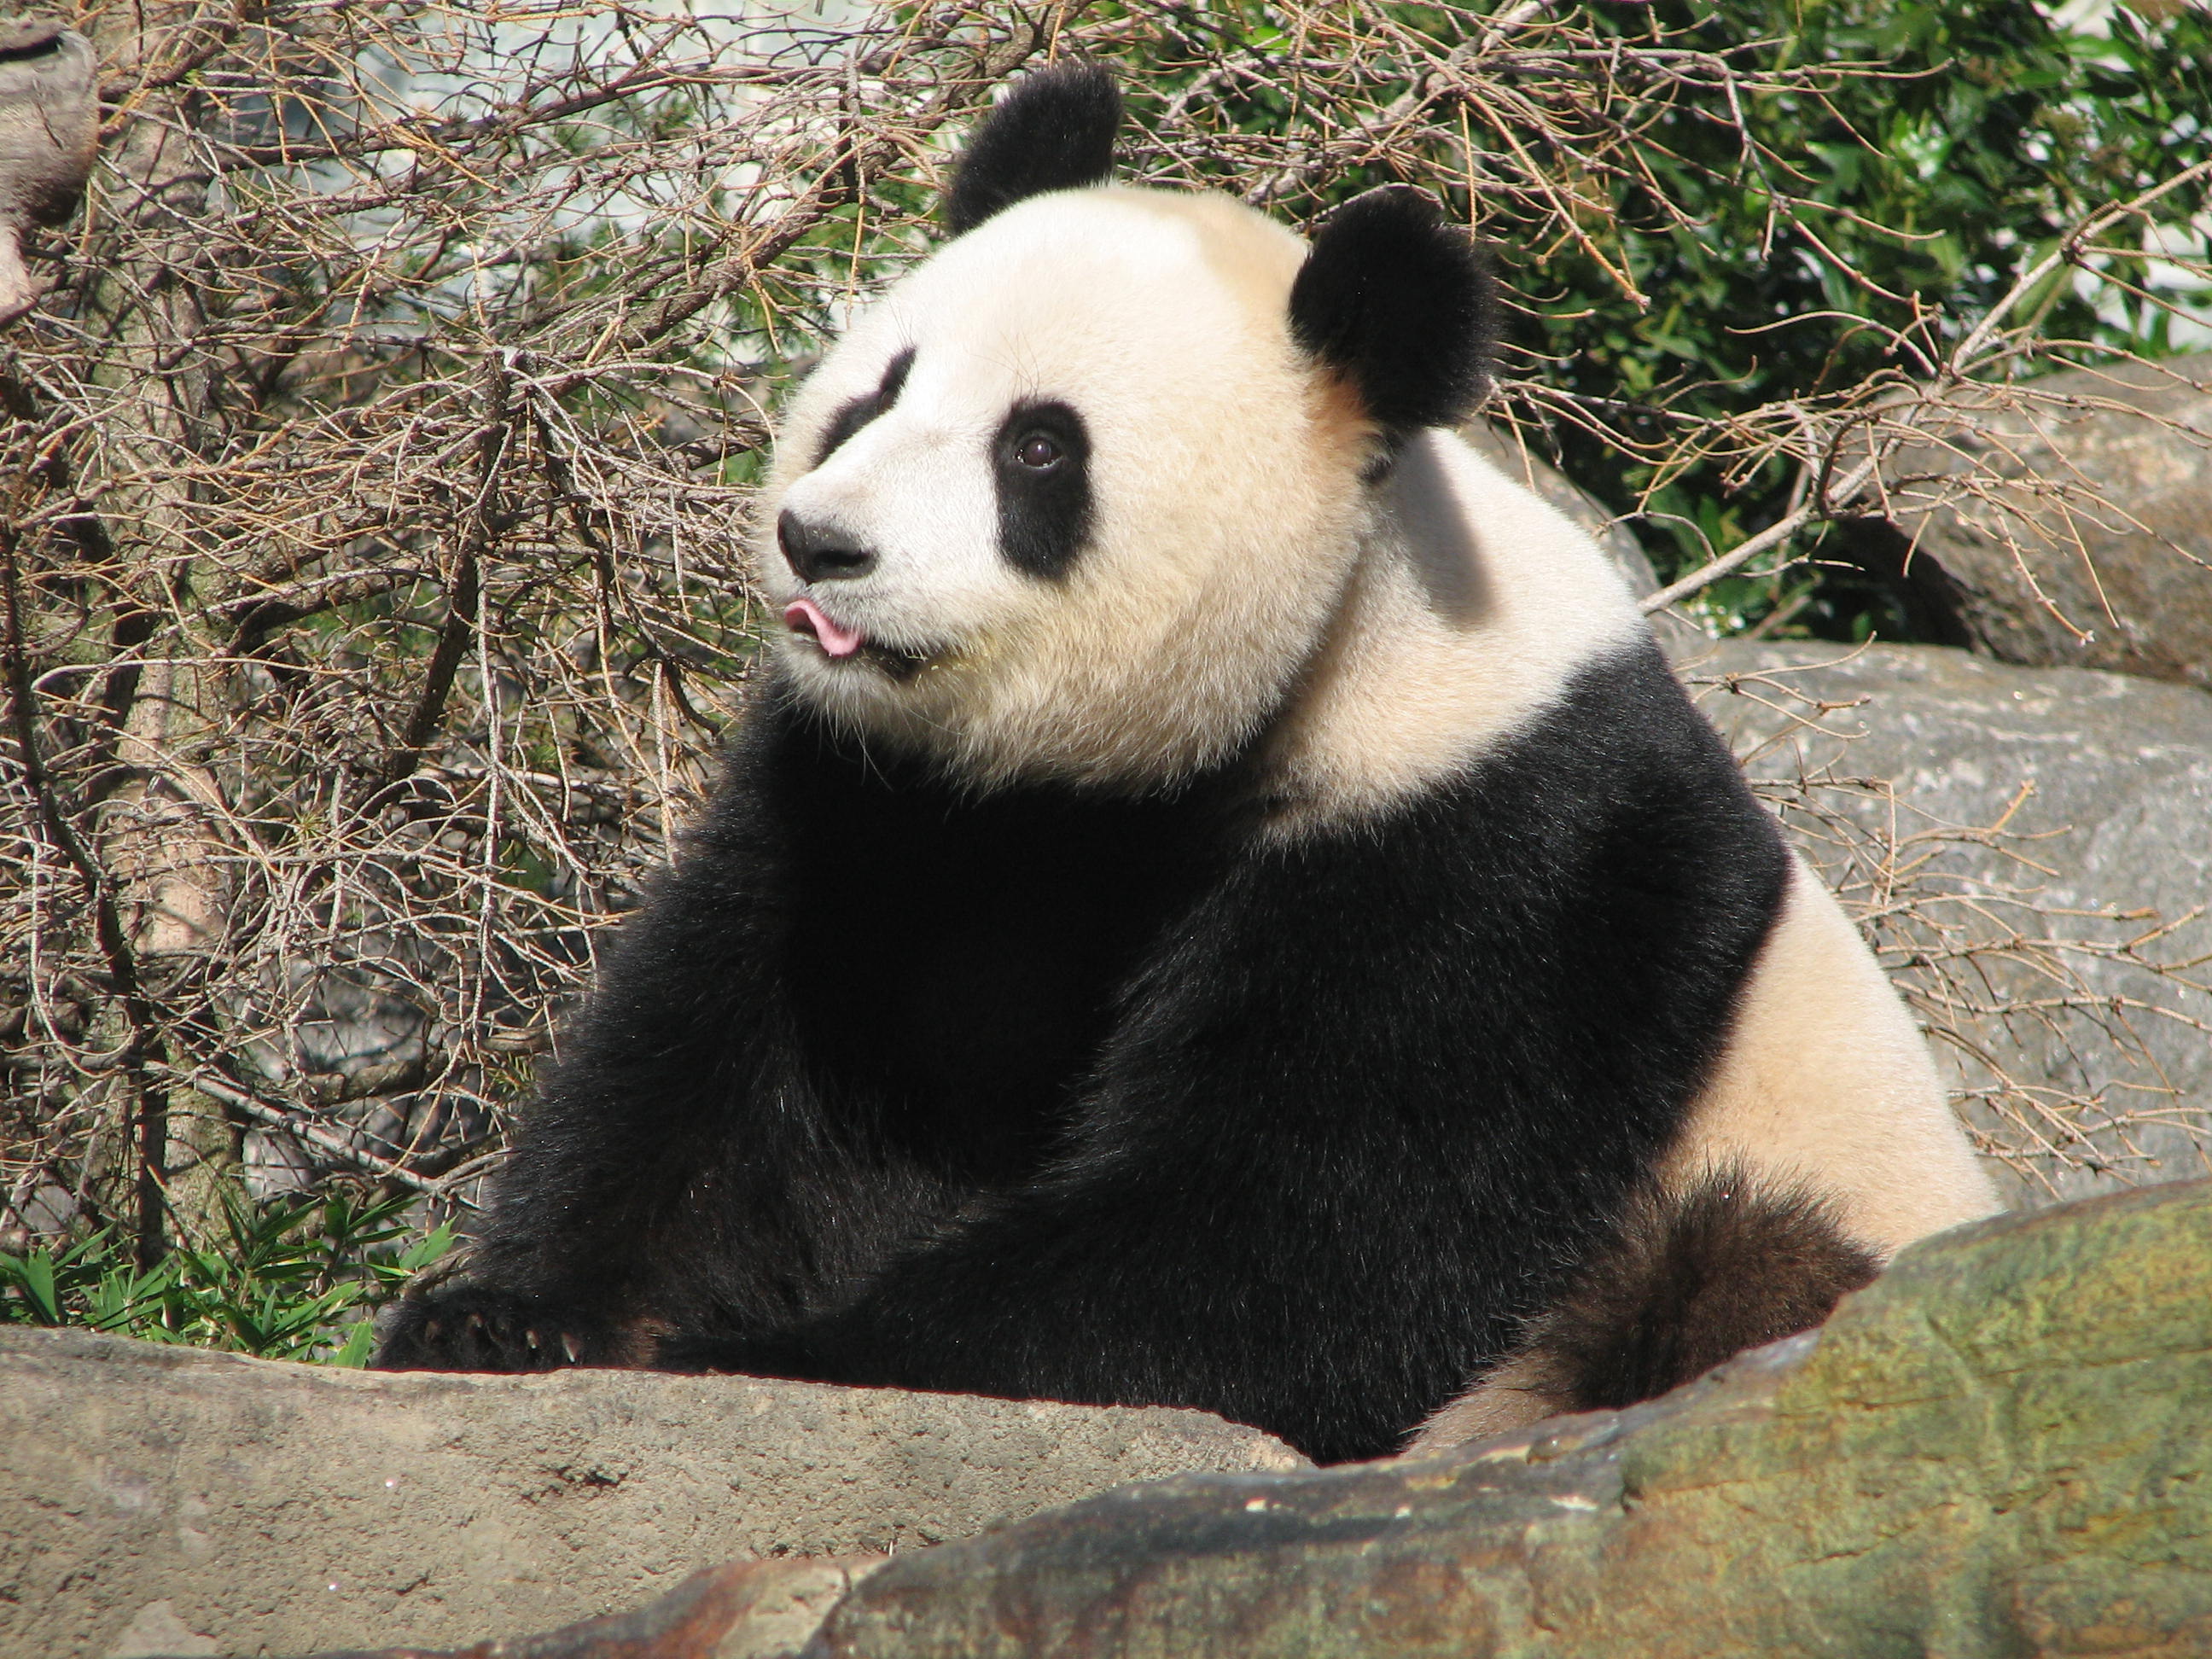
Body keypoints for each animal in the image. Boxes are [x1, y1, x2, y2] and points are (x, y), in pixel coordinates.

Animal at [372, 64, 1997, 1465]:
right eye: (875, 391)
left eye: (1038, 450)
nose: (820, 545)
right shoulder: (882, 805)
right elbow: (727, 1048)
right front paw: (506, 1316)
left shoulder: (1496, 847)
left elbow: (1307, 1237)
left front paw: (771, 1357)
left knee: (1734, 1280)